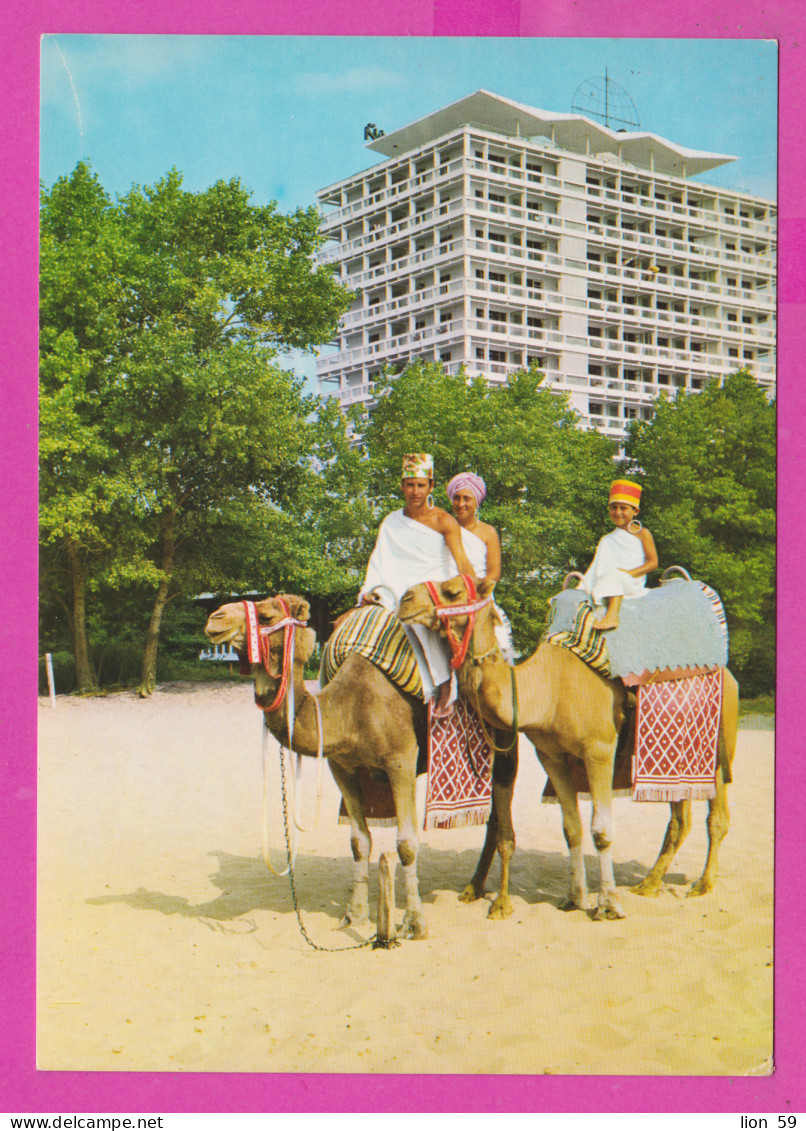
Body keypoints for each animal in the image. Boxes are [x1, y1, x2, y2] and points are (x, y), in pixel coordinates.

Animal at [395, 574, 737, 918]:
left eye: (453, 591)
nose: (405, 600)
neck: (548, 689)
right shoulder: (552, 756)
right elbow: (571, 828)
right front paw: (574, 898)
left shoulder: (599, 750)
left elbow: (602, 831)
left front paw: (608, 904)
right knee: (681, 817)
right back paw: (649, 884)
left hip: (718, 750)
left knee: (717, 817)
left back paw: (702, 884)